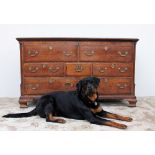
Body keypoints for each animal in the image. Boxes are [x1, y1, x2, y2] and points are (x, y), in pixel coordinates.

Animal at [2, 77, 132, 129]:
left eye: (92, 82)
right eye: (85, 84)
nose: (90, 87)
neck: (89, 100)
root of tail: (37, 105)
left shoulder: (100, 111)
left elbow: (114, 115)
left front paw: (126, 118)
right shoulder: (92, 118)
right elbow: (109, 121)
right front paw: (121, 125)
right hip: (49, 100)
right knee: (47, 118)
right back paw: (59, 120)